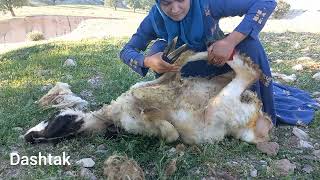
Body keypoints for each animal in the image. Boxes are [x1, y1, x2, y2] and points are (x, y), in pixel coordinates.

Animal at [25, 48, 272, 145]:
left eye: (51, 120)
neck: (110, 116)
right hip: (220, 105)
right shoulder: (138, 117)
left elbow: (168, 75)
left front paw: (179, 61)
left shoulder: (139, 87)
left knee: (240, 72)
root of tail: (258, 125)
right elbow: (170, 132)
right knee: (247, 72)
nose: (28, 135)